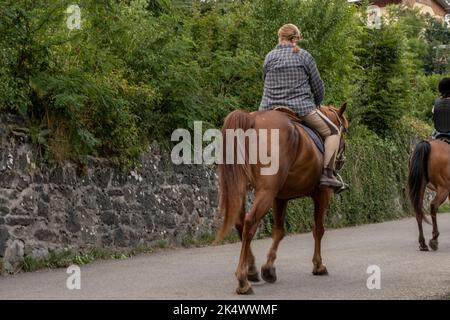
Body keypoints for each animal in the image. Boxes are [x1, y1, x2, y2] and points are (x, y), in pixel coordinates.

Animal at [214, 104, 348, 294]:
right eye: (345, 129)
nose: (341, 160)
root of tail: (252, 119)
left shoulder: (280, 198)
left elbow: (279, 232)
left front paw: (268, 269)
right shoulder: (322, 195)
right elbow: (319, 230)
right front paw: (318, 265)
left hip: (244, 188)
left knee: (240, 223)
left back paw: (251, 270)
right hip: (266, 192)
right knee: (249, 223)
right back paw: (243, 281)